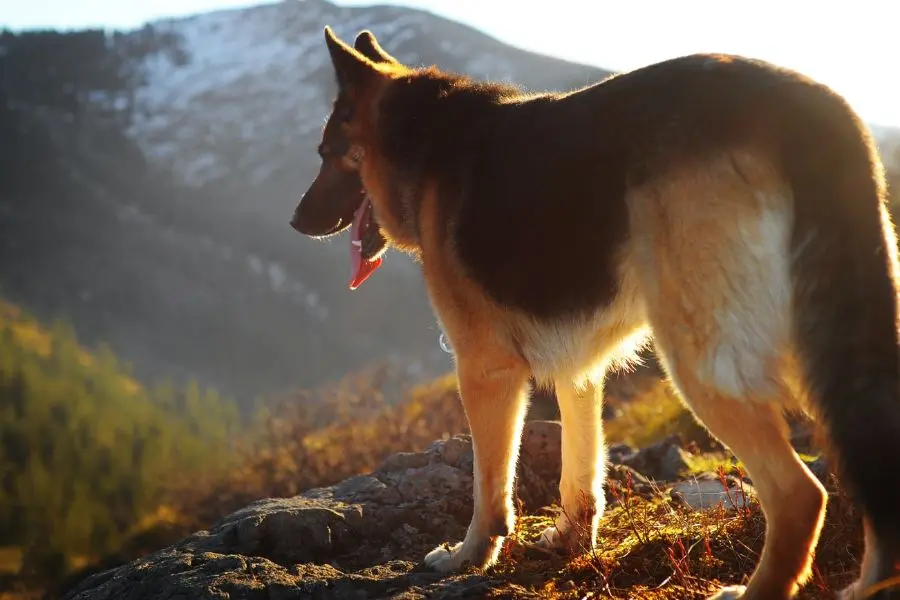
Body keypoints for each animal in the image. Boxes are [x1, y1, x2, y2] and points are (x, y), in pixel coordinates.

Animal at [294, 25, 900, 596]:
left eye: (325, 155)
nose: (297, 222)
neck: (424, 139)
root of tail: (809, 107)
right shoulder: (579, 368)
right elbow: (580, 471)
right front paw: (572, 541)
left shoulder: (484, 368)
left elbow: (490, 484)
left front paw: (472, 554)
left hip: (705, 358)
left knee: (800, 494)